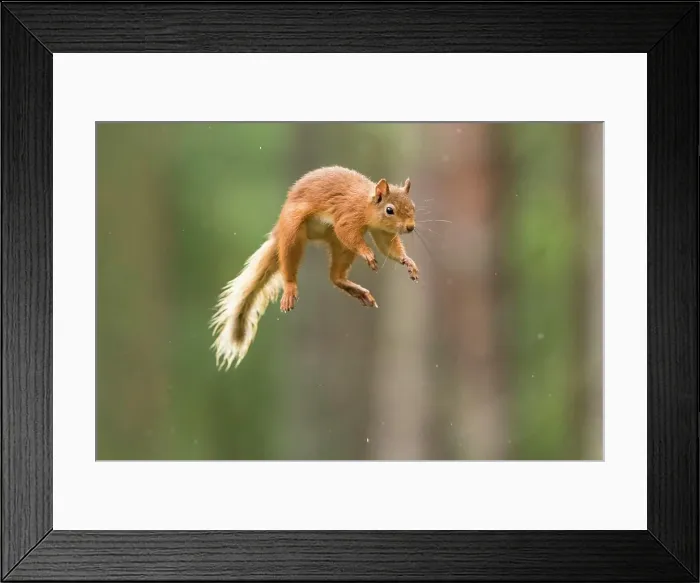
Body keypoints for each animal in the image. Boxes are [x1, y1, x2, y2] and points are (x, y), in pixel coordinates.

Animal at [210, 165, 420, 370]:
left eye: (413, 207)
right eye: (389, 210)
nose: (410, 227)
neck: (366, 204)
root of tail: (279, 231)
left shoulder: (382, 231)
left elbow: (388, 247)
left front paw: (408, 261)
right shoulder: (347, 216)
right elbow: (349, 233)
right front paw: (367, 252)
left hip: (340, 246)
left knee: (335, 277)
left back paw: (357, 290)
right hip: (293, 234)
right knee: (289, 264)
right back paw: (290, 289)